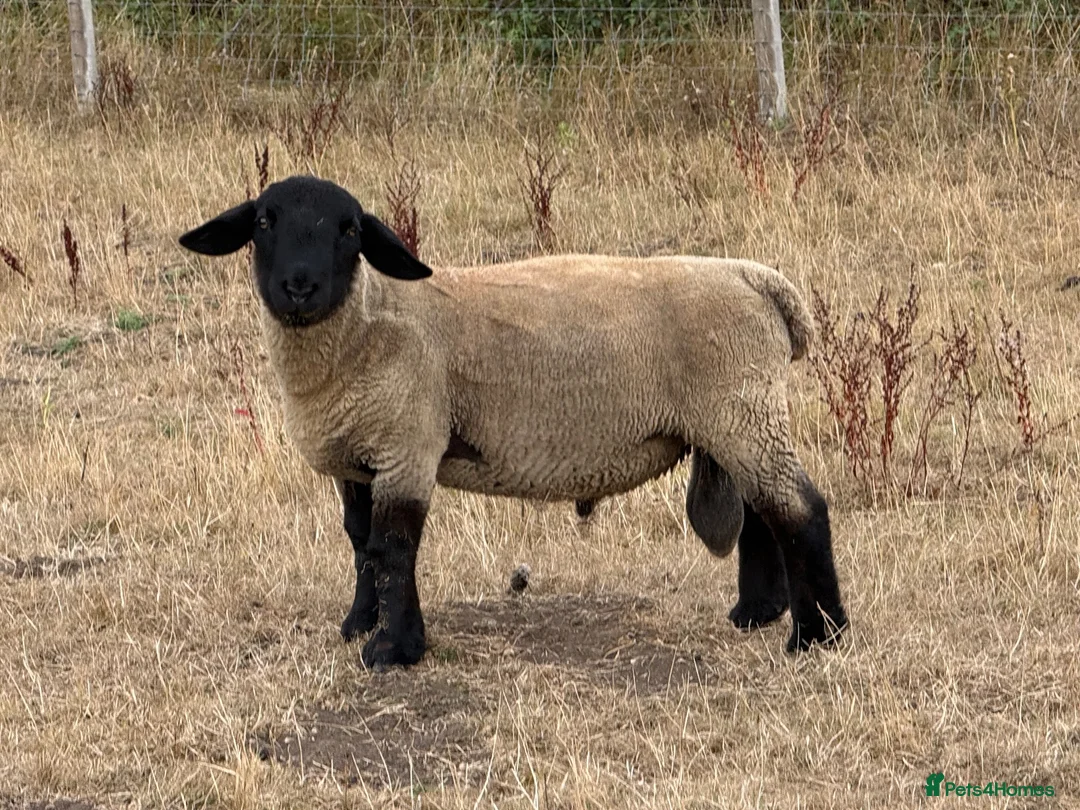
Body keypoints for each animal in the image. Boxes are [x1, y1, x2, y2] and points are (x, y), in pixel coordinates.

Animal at [178, 175, 848, 670]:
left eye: (349, 231)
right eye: (264, 222)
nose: (300, 287)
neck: (371, 322)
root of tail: (758, 280)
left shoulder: (407, 443)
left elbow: (394, 547)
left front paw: (395, 649)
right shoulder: (361, 455)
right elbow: (361, 543)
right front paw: (359, 624)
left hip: (742, 409)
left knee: (800, 510)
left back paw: (819, 637)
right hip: (738, 418)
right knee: (764, 512)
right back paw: (757, 613)